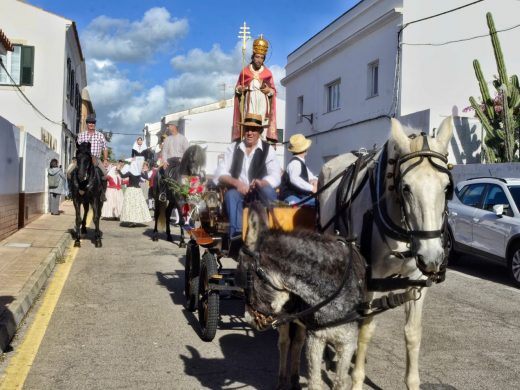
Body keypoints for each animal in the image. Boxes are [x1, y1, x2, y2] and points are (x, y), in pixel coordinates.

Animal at [318, 117, 452, 388]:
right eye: (406, 187)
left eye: (446, 188)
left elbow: (413, 333)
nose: (432, 259)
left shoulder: (417, 281)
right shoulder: (371, 279)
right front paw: (357, 380)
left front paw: (412, 382)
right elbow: (366, 329)